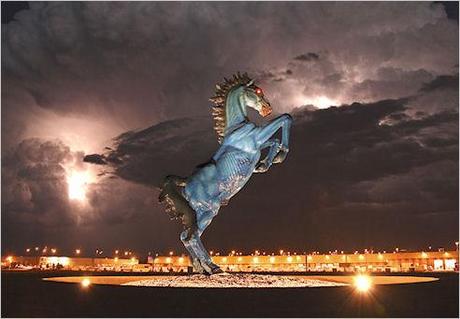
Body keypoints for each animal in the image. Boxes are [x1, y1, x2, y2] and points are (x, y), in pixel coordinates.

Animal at [158, 72, 292, 276]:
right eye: (258, 91)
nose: (268, 108)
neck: (237, 127)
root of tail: (186, 183)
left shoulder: (258, 144)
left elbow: (274, 141)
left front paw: (265, 164)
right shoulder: (257, 138)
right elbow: (285, 119)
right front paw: (280, 155)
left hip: (200, 212)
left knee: (186, 236)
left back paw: (201, 267)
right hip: (209, 209)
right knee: (191, 237)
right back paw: (212, 266)